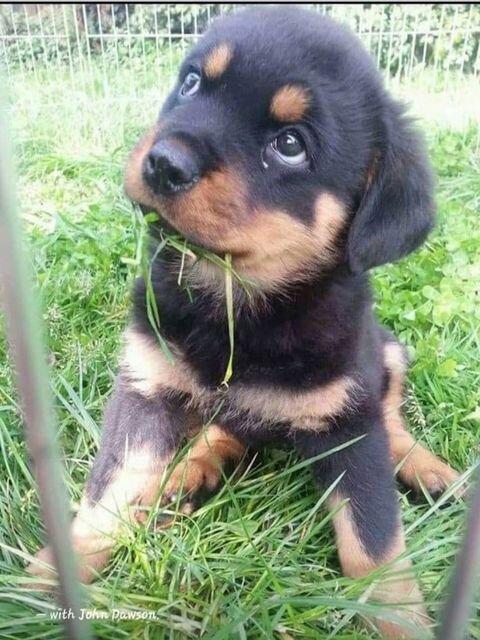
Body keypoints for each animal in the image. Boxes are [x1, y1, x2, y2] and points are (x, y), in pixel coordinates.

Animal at [30, 7, 462, 637]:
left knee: (392, 420)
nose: (163, 162)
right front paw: (45, 581)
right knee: (223, 430)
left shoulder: (350, 421)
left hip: (386, 352)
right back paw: (186, 476)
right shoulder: (146, 386)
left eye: (290, 145)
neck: (236, 302)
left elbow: (374, 544)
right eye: (190, 83)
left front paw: (401, 619)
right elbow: (108, 492)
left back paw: (429, 470)